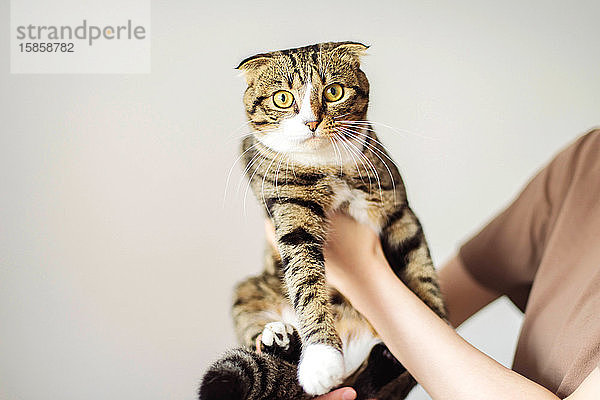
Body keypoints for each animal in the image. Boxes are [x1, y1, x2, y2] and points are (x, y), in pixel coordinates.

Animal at [200, 41, 446, 400]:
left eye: (334, 91)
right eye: (282, 98)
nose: (312, 122)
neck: (330, 165)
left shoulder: (397, 207)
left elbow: (420, 265)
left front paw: (435, 325)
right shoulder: (290, 209)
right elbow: (306, 279)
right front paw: (321, 360)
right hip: (246, 289)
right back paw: (280, 342)